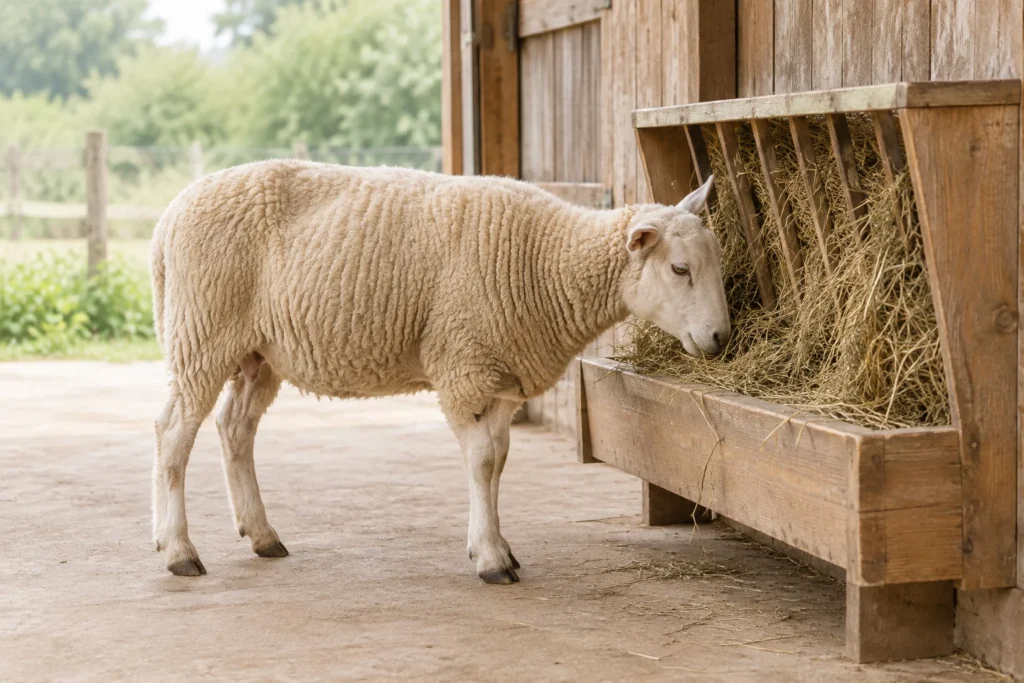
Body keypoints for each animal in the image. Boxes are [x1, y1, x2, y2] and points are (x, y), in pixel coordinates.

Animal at [149, 161, 729, 583]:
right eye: (679, 269)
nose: (722, 339)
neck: (547, 261)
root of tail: (169, 215)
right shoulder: (464, 367)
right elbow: (482, 462)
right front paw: (492, 559)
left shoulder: (499, 376)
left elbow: (497, 462)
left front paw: (495, 545)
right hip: (202, 333)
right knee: (173, 432)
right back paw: (178, 551)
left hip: (258, 352)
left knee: (235, 428)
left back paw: (262, 535)